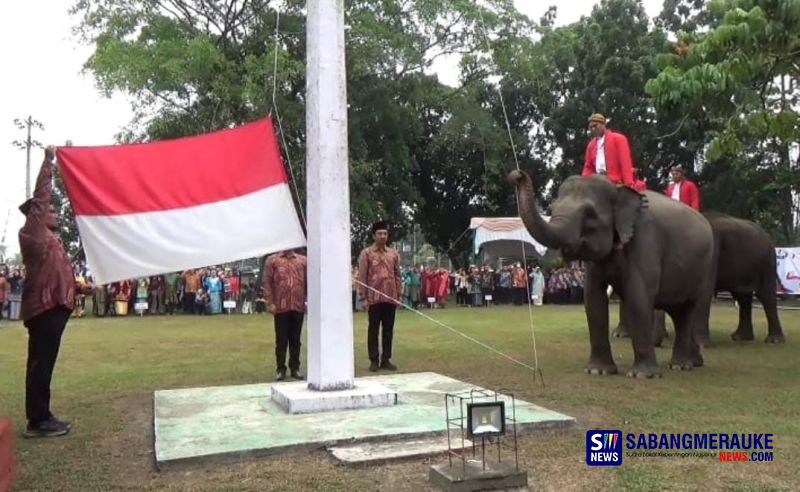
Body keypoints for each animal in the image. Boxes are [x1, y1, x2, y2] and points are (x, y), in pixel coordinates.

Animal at [510, 171, 716, 378]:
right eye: (551, 209)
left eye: (590, 214)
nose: (517, 175)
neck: (618, 189)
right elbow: (593, 301)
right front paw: (597, 371)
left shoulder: (645, 239)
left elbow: (638, 298)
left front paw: (641, 375)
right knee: (679, 313)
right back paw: (688, 363)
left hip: (704, 267)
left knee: (692, 308)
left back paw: (683, 365)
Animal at [700, 210, 788, 342]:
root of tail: (767, 236)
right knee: (743, 296)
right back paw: (740, 337)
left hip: (767, 262)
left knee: (766, 295)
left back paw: (774, 340)